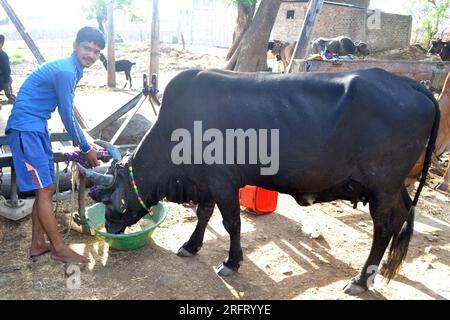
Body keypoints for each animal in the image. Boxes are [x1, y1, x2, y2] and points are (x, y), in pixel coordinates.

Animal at [81, 67, 440, 296]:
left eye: (110, 200)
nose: (110, 229)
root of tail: (409, 83)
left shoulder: (223, 181)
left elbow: (231, 223)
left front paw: (231, 261)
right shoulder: (206, 181)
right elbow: (204, 215)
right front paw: (191, 245)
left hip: (382, 186)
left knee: (384, 227)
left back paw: (361, 279)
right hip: (394, 187)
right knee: (402, 218)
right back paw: (387, 266)